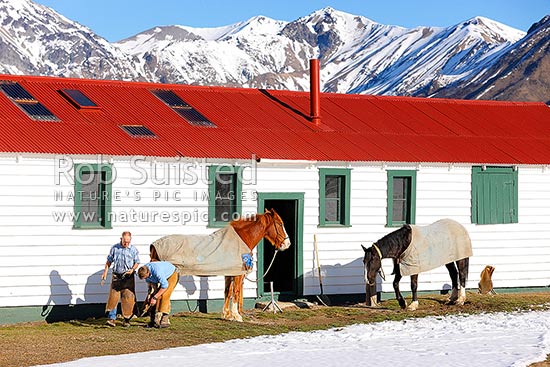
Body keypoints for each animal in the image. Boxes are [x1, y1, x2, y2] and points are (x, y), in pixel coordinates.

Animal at [149, 210, 292, 322]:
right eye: (280, 224)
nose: (287, 244)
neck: (240, 239)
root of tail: (154, 245)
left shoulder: (229, 273)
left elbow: (227, 292)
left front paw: (226, 315)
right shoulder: (238, 274)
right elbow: (236, 292)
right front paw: (237, 316)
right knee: (161, 294)